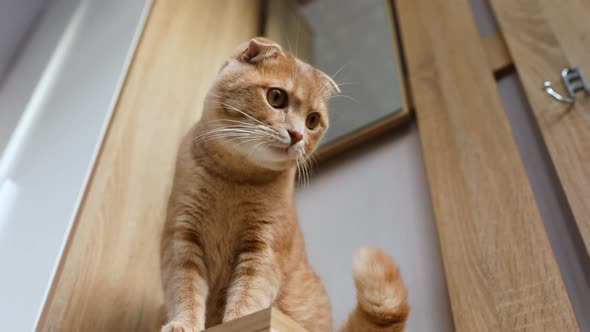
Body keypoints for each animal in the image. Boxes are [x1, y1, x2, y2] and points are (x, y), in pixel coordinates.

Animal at [161, 37, 412, 330]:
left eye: (312, 120)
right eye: (276, 97)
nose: (297, 134)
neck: (235, 177)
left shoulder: (264, 250)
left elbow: (247, 297)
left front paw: (235, 322)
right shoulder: (182, 238)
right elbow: (184, 289)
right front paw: (183, 323)